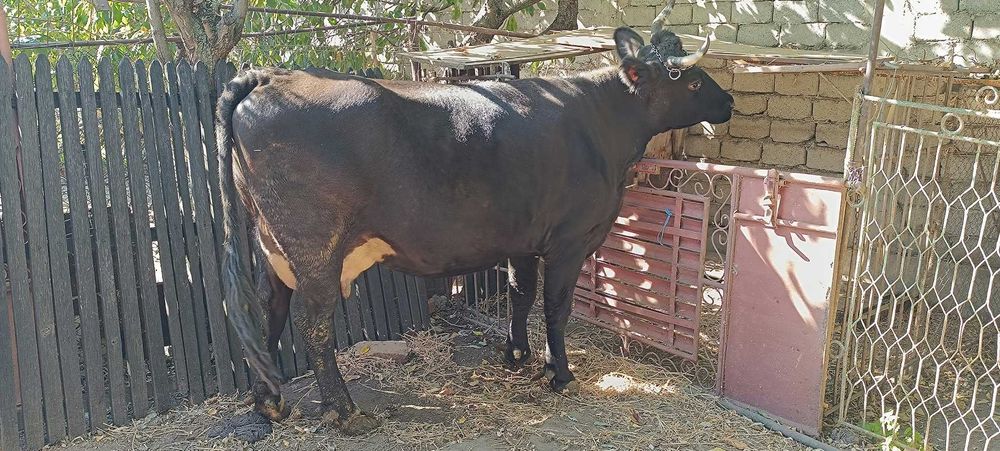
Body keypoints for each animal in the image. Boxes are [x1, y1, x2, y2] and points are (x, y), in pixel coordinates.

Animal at [216, 0, 733, 437]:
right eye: (688, 79)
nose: (727, 101)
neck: (601, 121)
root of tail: (268, 78)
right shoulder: (569, 240)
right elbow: (556, 306)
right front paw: (559, 373)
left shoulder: (525, 238)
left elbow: (520, 294)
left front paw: (516, 355)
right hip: (314, 244)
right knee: (314, 323)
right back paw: (345, 413)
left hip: (271, 241)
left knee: (269, 306)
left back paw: (270, 403)